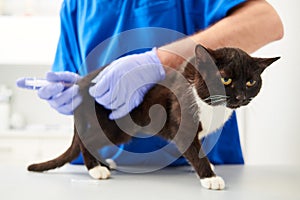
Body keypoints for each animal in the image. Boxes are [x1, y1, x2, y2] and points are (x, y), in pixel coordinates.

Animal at [25, 44, 278, 190]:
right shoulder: (182, 122)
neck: (208, 102)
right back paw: (96, 169)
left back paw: (104, 163)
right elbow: (193, 149)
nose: (240, 96)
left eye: (251, 82)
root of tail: (84, 82)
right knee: (88, 140)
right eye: (225, 79)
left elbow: (198, 150)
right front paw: (209, 177)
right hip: (116, 126)